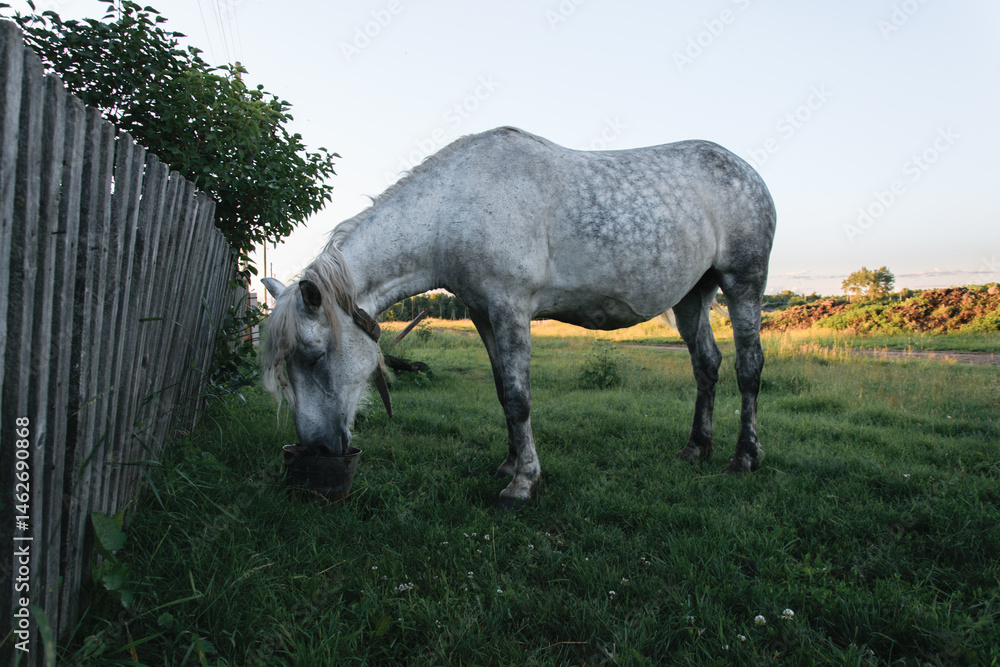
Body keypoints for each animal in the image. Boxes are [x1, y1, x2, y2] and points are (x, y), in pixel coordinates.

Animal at [261, 127, 776, 508]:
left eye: (314, 354)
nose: (316, 449)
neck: (455, 207)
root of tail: (748, 172)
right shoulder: (483, 314)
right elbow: (501, 391)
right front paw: (510, 464)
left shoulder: (511, 307)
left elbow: (518, 396)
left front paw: (523, 483)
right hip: (692, 296)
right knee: (706, 365)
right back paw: (696, 449)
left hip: (743, 283)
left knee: (748, 368)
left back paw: (744, 458)